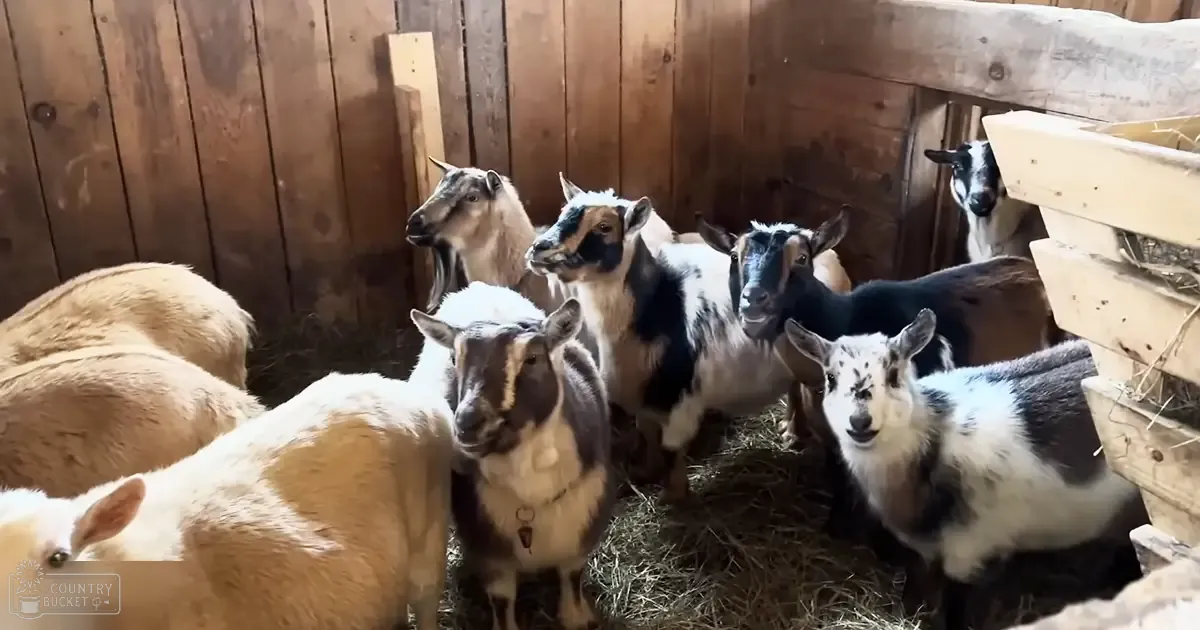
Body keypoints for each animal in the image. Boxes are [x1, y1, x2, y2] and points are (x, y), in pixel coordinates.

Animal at [409, 282, 613, 630]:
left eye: (532, 358)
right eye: (454, 357)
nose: (467, 423)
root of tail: (476, 288)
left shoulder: (581, 526)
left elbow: (572, 575)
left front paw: (576, 617)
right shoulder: (489, 546)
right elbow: (502, 600)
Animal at [526, 190, 793, 502]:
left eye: (604, 227)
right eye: (562, 213)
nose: (539, 249)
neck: (660, 308)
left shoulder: (681, 396)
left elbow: (671, 447)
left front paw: (675, 494)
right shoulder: (644, 391)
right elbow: (646, 431)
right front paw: (646, 471)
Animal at [785, 311, 1147, 630]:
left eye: (893, 375)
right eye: (831, 378)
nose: (860, 421)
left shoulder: (972, 551)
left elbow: (958, 612)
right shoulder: (925, 551)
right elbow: (913, 590)